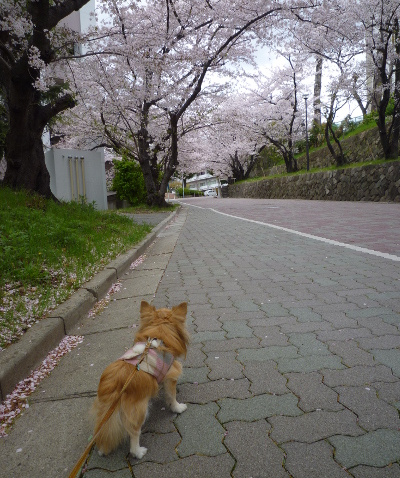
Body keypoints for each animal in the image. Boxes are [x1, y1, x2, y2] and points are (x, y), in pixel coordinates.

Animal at [92, 300, 189, 458]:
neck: (159, 333)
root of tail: (114, 383)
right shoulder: (171, 375)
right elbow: (172, 396)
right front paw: (177, 408)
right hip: (139, 410)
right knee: (134, 432)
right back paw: (138, 452)